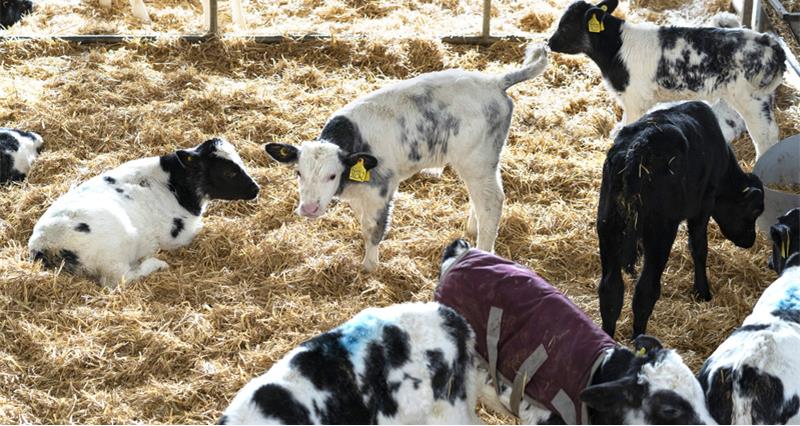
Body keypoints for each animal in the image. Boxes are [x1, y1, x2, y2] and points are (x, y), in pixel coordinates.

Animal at [27, 138, 260, 288]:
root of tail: (44, 245)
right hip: (116, 246)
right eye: (229, 172)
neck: (175, 184)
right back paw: (156, 264)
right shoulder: (178, 235)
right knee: (119, 280)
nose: (256, 189)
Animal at [552, 0, 788, 158]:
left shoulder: (634, 99)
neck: (616, 48)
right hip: (762, 99)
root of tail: (769, 42)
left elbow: (628, 126)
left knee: (765, 137)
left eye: (566, 26)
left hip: (751, 100)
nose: (549, 42)